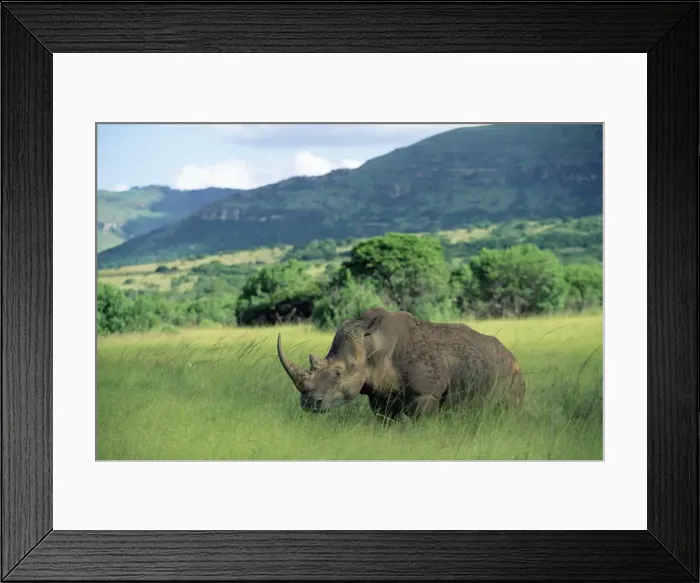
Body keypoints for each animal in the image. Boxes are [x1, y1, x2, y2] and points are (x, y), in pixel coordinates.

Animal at [276, 307, 525, 419]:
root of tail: (513, 357)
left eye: (338, 374)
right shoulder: (380, 393)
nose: (309, 404)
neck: (372, 346)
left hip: (511, 373)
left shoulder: (425, 393)